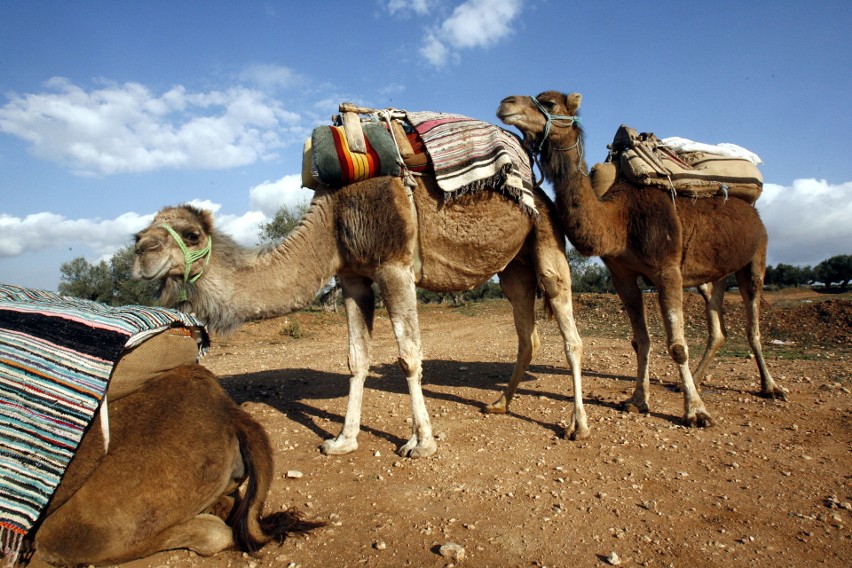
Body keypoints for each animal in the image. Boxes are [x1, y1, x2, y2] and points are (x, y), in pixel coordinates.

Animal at [133, 175, 588, 460]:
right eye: (142, 231)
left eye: (191, 234)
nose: (139, 252)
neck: (332, 223)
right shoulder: (352, 278)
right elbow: (357, 359)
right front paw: (342, 440)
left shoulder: (394, 266)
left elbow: (408, 356)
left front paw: (421, 443)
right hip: (513, 268)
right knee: (528, 334)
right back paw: (498, 404)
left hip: (546, 240)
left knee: (570, 333)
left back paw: (577, 425)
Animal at [496, 89, 788, 426]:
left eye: (550, 103)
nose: (506, 103)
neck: (621, 220)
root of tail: (754, 213)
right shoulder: (622, 275)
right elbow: (640, 340)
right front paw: (637, 399)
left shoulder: (667, 270)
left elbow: (677, 346)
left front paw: (696, 411)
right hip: (713, 275)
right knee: (717, 326)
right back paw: (694, 381)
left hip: (755, 257)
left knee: (753, 324)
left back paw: (770, 387)